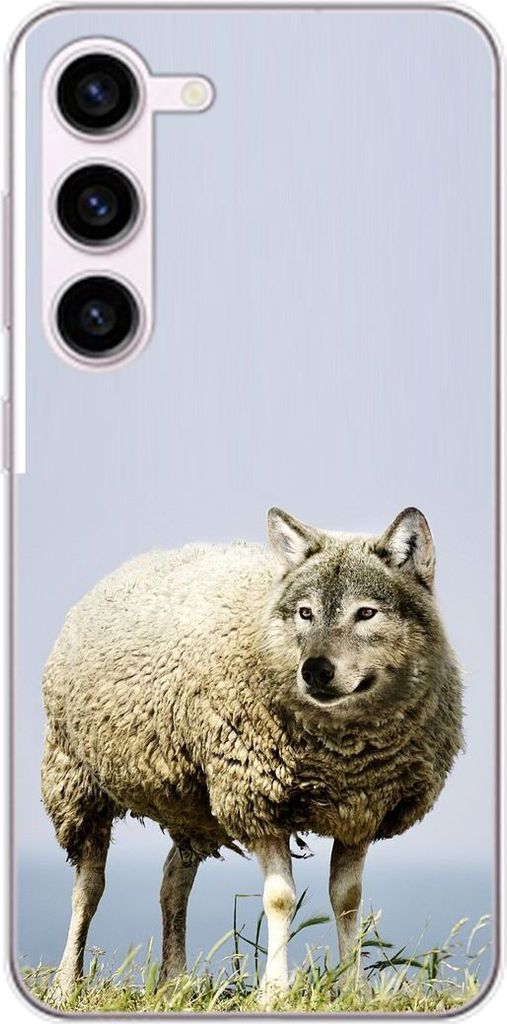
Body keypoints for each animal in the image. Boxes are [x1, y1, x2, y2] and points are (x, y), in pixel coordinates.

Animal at [42, 507, 463, 997]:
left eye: (367, 613)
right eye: (305, 612)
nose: (315, 671)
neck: (341, 754)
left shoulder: (361, 810)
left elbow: (347, 900)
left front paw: (353, 988)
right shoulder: (256, 799)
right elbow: (280, 899)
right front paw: (276, 990)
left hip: (192, 806)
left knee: (173, 881)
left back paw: (174, 980)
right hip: (75, 779)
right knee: (88, 887)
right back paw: (66, 983)